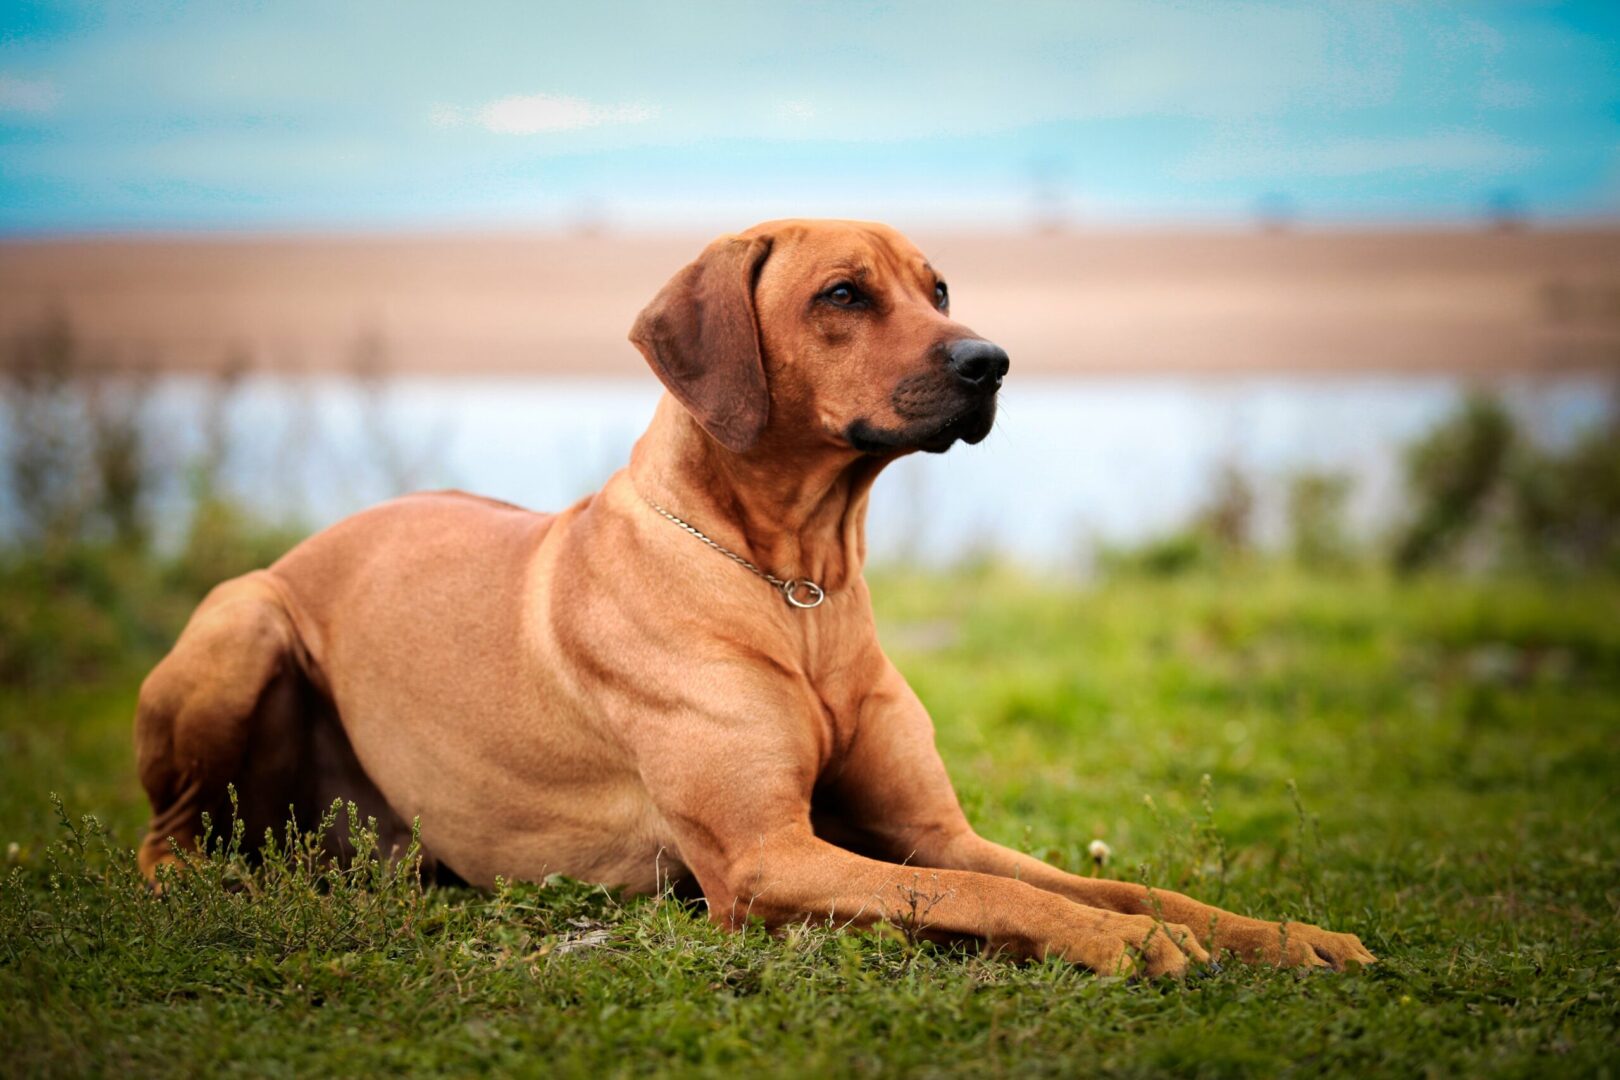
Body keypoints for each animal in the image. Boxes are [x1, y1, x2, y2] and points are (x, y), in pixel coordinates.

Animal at [139, 220, 1373, 977]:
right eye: (844, 294)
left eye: (939, 289)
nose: (992, 361)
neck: (796, 579)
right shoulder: (762, 861)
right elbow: (997, 901)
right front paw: (1131, 950)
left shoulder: (935, 832)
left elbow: (1114, 885)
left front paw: (1281, 934)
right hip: (241, 621)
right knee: (165, 840)